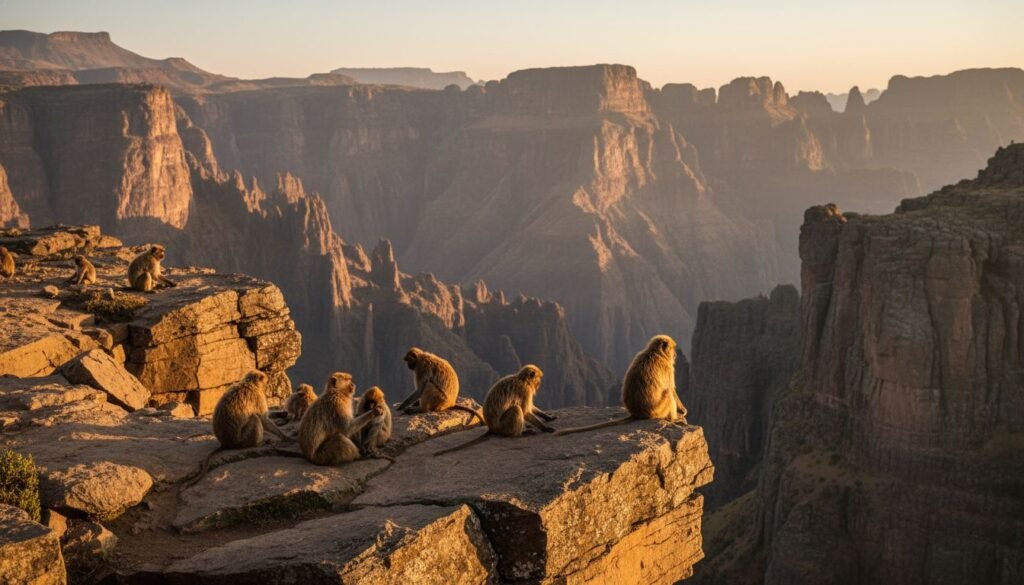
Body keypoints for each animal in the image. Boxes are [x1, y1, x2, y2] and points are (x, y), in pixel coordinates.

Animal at [555, 334, 687, 437]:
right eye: (673, 349)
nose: (675, 355)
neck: (656, 353)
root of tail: (638, 413)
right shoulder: (668, 367)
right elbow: (672, 389)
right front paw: (682, 410)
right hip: (657, 410)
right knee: (667, 393)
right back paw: (674, 419)